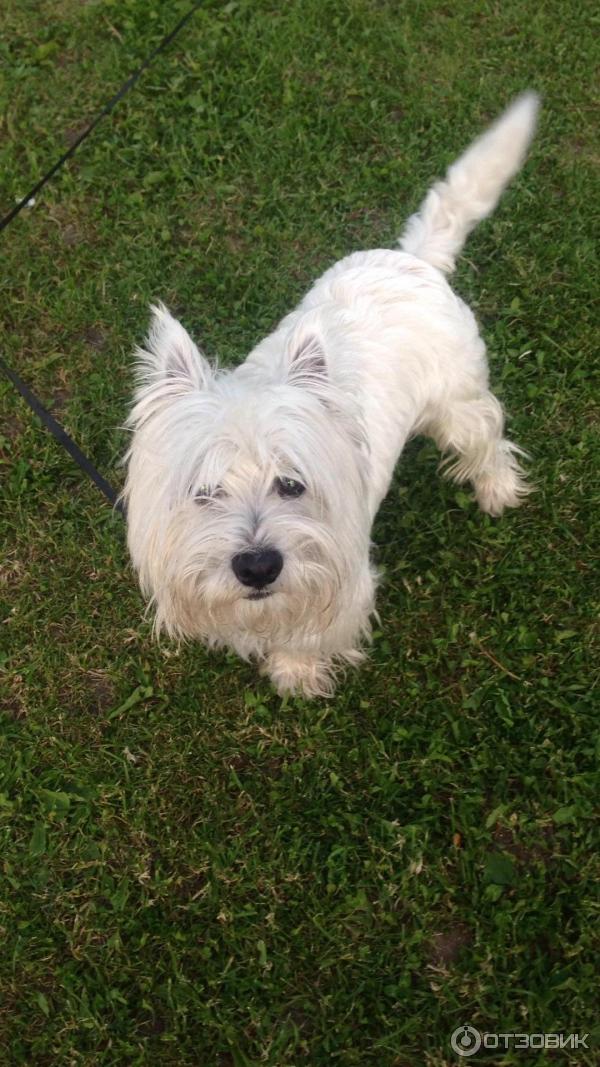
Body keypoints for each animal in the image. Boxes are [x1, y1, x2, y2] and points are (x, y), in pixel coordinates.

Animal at [123, 93, 539, 697]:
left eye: (292, 484)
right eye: (203, 492)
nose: (257, 567)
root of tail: (413, 258)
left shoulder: (342, 578)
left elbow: (310, 630)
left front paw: (296, 674)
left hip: (457, 403)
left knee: (487, 439)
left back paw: (498, 490)